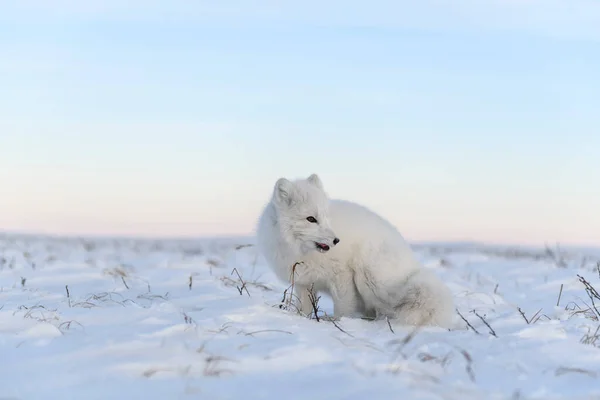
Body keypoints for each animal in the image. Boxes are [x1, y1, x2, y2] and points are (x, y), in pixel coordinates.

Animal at [253, 174, 454, 328]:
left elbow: (344, 306)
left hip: (369, 278)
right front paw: (303, 319)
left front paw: (338, 322)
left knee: (386, 308)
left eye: (326, 217)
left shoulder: (342, 276)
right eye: (311, 219)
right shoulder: (303, 282)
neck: (300, 251)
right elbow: (305, 308)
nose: (336, 240)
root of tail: (412, 264)